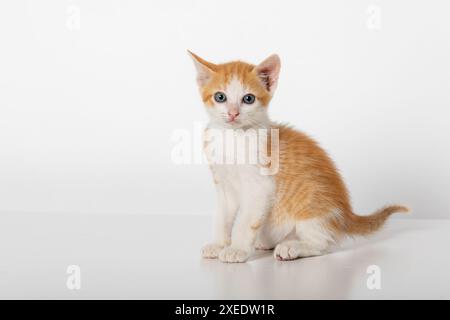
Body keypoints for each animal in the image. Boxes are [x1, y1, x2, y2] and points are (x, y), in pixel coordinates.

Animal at [188, 52, 410, 262]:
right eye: (220, 97)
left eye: (248, 99)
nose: (233, 114)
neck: (232, 137)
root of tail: (346, 215)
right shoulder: (223, 183)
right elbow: (222, 217)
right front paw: (218, 245)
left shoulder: (261, 186)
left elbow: (246, 221)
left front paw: (237, 249)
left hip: (311, 211)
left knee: (323, 244)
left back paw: (291, 247)